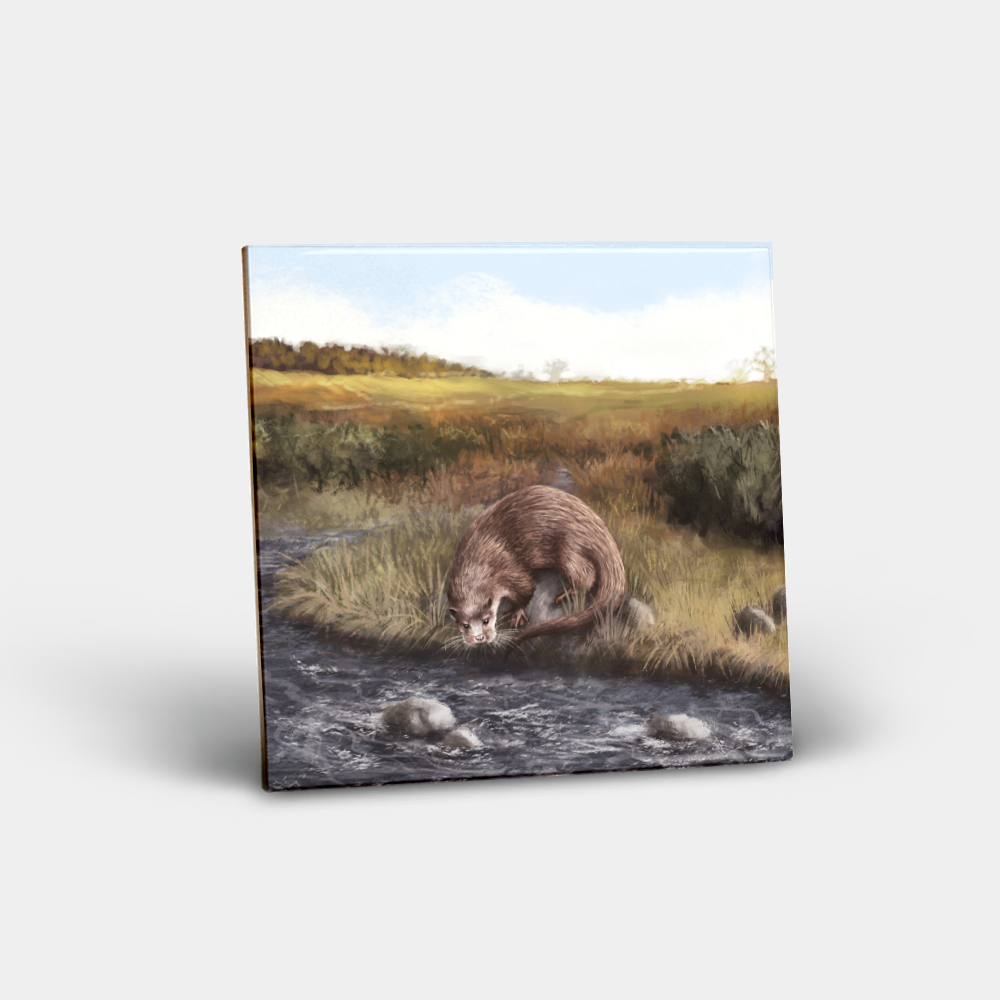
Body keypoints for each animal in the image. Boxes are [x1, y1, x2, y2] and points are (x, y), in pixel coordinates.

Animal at [446, 485, 627, 649]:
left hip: (570, 548)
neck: (477, 558)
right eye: (465, 625)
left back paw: (566, 594)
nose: (479, 638)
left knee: (585, 575)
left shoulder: (508, 568)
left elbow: (525, 587)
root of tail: (599, 529)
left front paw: (516, 614)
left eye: (486, 620)